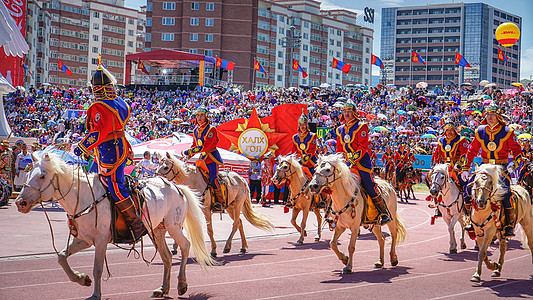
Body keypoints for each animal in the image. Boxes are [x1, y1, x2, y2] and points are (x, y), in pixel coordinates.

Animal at [16, 154, 216, 298]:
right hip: (157, 231)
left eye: (42, 176)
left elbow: (97, 269)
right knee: (167, 257)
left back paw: (182, 284)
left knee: (186, 246)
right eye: (28, 174)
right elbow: (61, 257)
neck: (85, 196)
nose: (20, 203)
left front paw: (95, 294)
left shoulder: (101, 240)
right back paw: (163, 289)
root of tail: (177, 187)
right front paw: (82, 279)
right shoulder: (84, 239)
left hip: (173, 227)